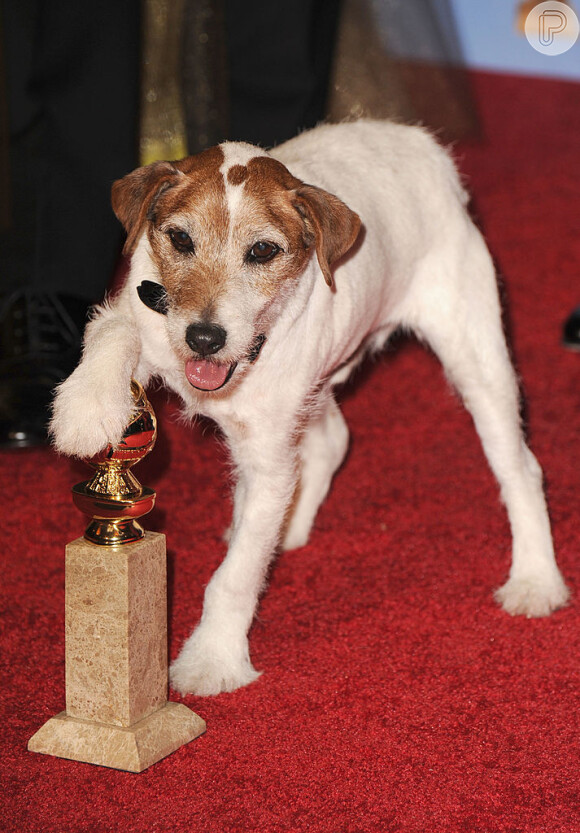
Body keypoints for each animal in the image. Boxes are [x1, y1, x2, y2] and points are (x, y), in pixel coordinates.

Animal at [49, 118, 568, 696]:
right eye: (181, 239)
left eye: (262, 252)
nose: (204, 338)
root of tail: (417, 141)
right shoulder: (144, 318)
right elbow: (113, 333)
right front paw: (85, 408)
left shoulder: (268, 460)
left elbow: (234, 576)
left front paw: (211, 659)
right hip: (315, 387)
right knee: (331, 442)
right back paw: (289, 522)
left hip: (476, 360)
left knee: (520, 468)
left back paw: (535, 579)